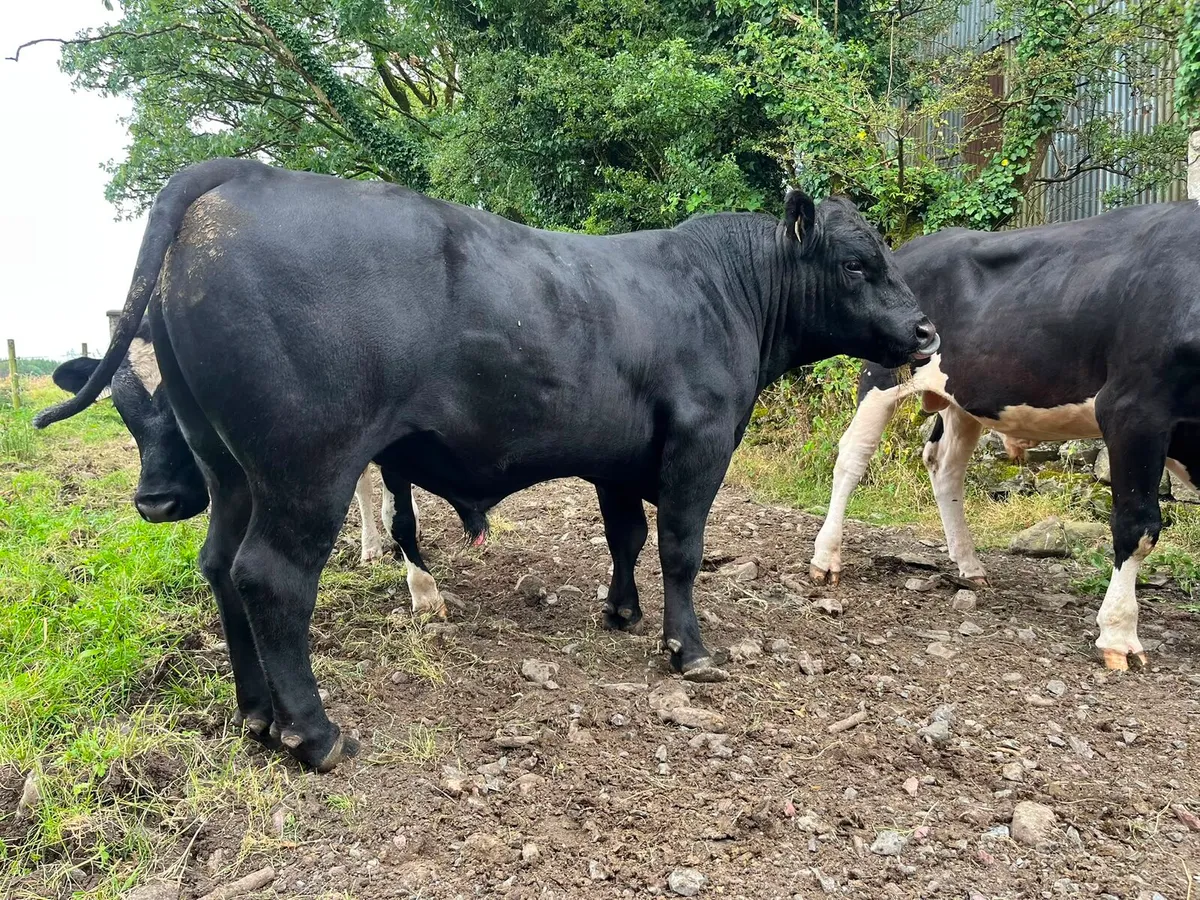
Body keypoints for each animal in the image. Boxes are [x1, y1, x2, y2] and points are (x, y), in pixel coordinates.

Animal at [36, 158, 937, 771]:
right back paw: (316, 734)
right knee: (270, 579)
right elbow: (680, 549)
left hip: (230, 472)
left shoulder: (617, 459)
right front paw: (689, 648)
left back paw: (258, 715)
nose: (926, 331)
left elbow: (624, 539)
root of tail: (243, 177)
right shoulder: (699, 443)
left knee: (220, 565)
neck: (720, 291)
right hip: (307, 469)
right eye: (857, 263)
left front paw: (621, 611)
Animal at [807, 202, 1200, 672]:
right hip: (883, 376)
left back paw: (969, 564)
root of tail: (912, 247)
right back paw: (826, 558)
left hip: (962, 396)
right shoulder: (1133, 410)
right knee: (854, 456)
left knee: (944, 465)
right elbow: (1137, 525)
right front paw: (1119, 635)